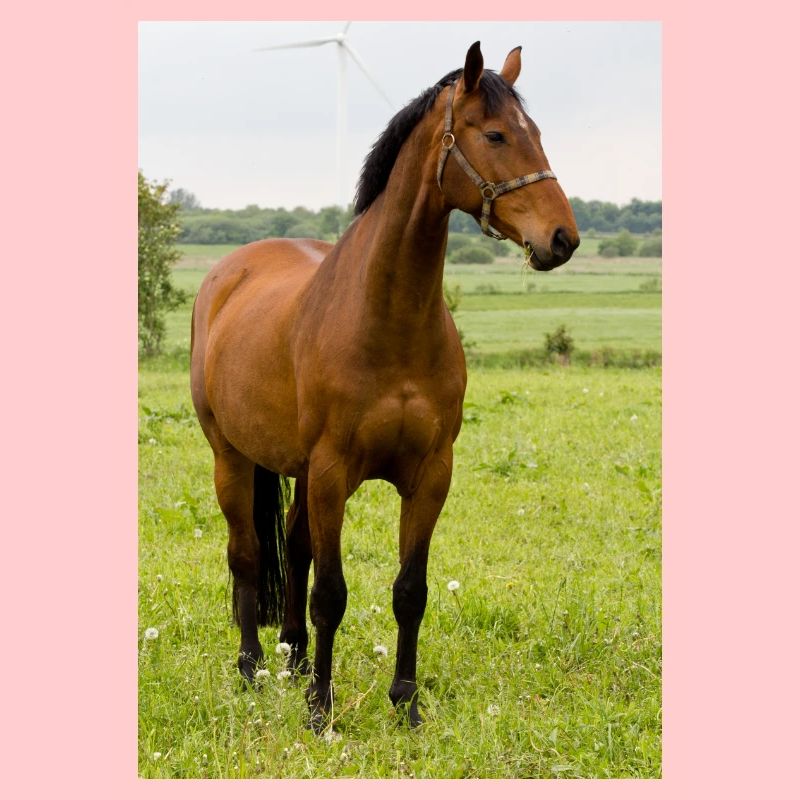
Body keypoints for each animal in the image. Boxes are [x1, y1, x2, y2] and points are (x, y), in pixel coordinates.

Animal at [190, 41, 579, 732]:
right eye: (497, 135)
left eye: (536, 133)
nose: (562, 238)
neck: (389, 320)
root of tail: (227, 273)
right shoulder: (332, 472)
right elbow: (331, 593)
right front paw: (321, 710)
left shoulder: (430, 474)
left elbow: (409, 591)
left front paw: (405, 703)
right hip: (231, 458)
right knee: (247, 554)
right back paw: (253, 668)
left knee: (294, 549)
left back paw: (293, 660)